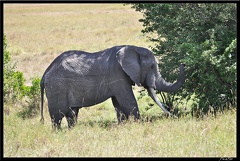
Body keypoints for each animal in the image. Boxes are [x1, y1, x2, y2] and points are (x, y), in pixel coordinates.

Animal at [40, 45, 185, 128]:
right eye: (151, 67)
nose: (183, 64)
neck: (132, 48)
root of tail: (45, 73)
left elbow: (118, 104)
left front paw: (123, 126)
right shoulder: (117, 74)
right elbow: (128, 100)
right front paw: (139, 125)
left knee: (72, 114)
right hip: (57, 87)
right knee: (58, 115)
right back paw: (58, 133)